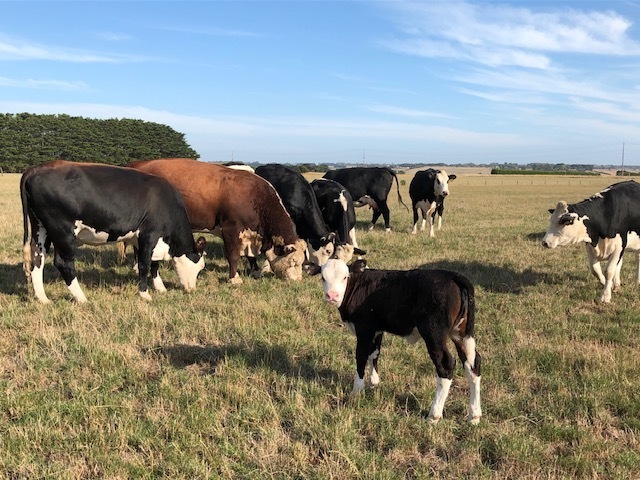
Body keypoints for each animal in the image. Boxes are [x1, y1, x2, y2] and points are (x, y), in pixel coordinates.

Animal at [21, 160, 206, 303]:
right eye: (200, 266)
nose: (192, 289)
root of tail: (36, 169)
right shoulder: (149, 234)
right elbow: (145, 264)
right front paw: (145, 294)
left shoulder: (146, 240)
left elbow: (154, 264)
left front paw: (160, 288)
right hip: (63, 230)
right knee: (63, 263)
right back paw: (82, 298)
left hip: (40, 227)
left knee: (37, 259)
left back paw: (43, 299)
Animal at [127, 158, 307, 284]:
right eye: (293, 262)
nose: (298, 280)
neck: (255, 197)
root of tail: (136, 164)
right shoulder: (230, 229)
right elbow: (233, 255)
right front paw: (234, 279)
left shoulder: (250, 234)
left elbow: (250, 256)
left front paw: (255, 272)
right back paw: (136, 267)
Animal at [306, 258, 482, 424]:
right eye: (323, 277)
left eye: (345, 277)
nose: (332, 296)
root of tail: (452, 276)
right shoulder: (377, 329)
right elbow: (374, 353)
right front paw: (374, 382)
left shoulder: (364, 328)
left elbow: (361, 356)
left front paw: (356, 391)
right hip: (461, 334)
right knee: (473, 363)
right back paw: (474, 415)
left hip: (434, 334)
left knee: (446, 365)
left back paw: (434, 415)